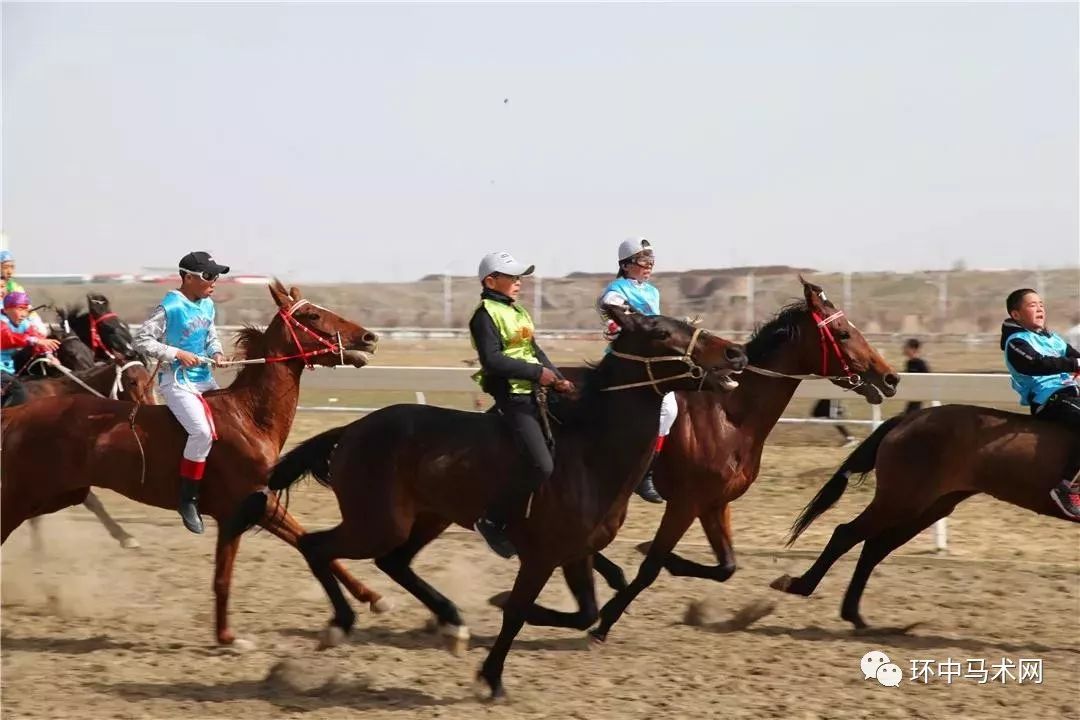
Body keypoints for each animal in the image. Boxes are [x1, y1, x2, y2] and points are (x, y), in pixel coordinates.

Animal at [0, 280, 388, 647]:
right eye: (312, 316)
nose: (369, 338)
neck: (248, 416)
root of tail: (17, 413)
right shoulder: (235, 511)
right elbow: (223, 578)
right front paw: (229, 637)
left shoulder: (259, 503)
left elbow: (306, 541)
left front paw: (375, 598)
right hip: (24, 497)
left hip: (58, 495)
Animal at [227, 306, 751, 699]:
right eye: (661, 332)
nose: (736, 352)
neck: (589, 450)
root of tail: (352, 430)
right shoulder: (541, 555)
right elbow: (517, 611)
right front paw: (491, 677)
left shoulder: (576, 552)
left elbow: (585, 610)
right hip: (377, 522)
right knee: (318, 546)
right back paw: (342, 623)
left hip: (427, 518)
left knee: (393, 561)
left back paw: (452, 623)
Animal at [773, 403, 1075, 626]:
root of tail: (907, 418)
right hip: (902, 502)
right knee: (846, 534)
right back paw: (798, 585)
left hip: (930, 507)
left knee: (874, 547)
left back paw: (854, 615)